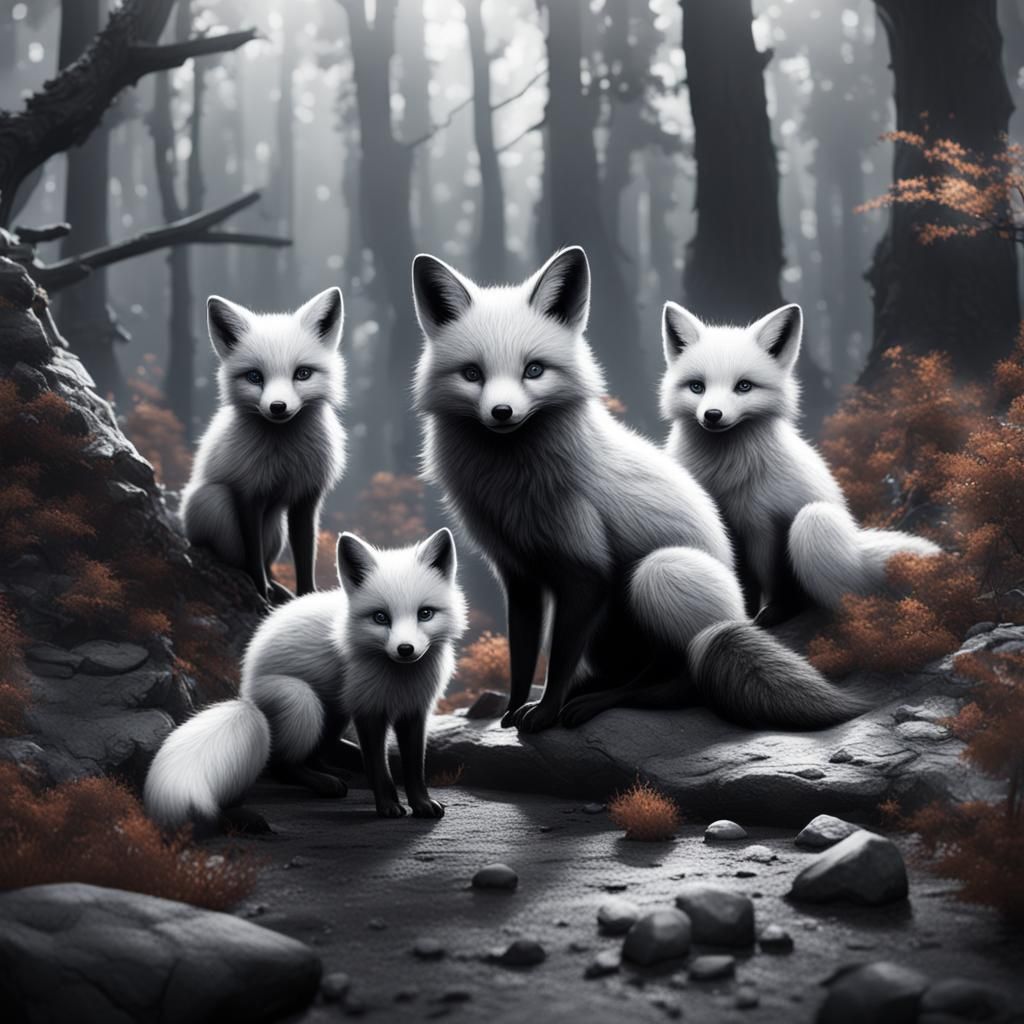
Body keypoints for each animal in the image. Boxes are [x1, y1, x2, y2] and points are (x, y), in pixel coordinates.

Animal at [143, 528, 467, 828]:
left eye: (425, 614)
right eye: (380, 617)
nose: (405, 649)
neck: (401, 679)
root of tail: (246, 692)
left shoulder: (414, 711)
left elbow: (414, 767)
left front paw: (421, 804)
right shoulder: (368, 710)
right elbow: (378, 766)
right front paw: (387, 806)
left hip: (335, 711)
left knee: (314, 754)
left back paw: (333, 770)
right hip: (303, 701)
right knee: (280, 765)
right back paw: (325, 783)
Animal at [180, 287, 347, 605]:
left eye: (302, 374)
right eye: (255, 377)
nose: (278, 407)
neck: (285, 457)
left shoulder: (306, 500)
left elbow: (304, 557)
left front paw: (305, 598)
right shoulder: (248, 494)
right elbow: (253, 555)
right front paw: (260, 593)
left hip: (276, 529)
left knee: (268, 562)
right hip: (215, 500)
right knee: (233, 557)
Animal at [410, 245, 863, 733]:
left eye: (533, 370)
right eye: (472, 374)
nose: (501, 412)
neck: (511, 485)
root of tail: (735, 620)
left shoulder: (586, 571)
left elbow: (559, 657)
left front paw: (545, 714)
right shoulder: (518, 574)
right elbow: (524, 655)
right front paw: (512, 712)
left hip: (655, 574)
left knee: (673, 679)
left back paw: (596, 702)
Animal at [659, 300, 941, 625]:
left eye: (744, 386)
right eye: (697, 387)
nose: (712, 415)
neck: (724, 474)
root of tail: (859, 547)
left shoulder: (761, 525)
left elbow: (769, 579)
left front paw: (769, 612)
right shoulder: (723, 526)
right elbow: (736, 578)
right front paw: (744, 614)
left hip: (813, 521)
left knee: (842, 599)